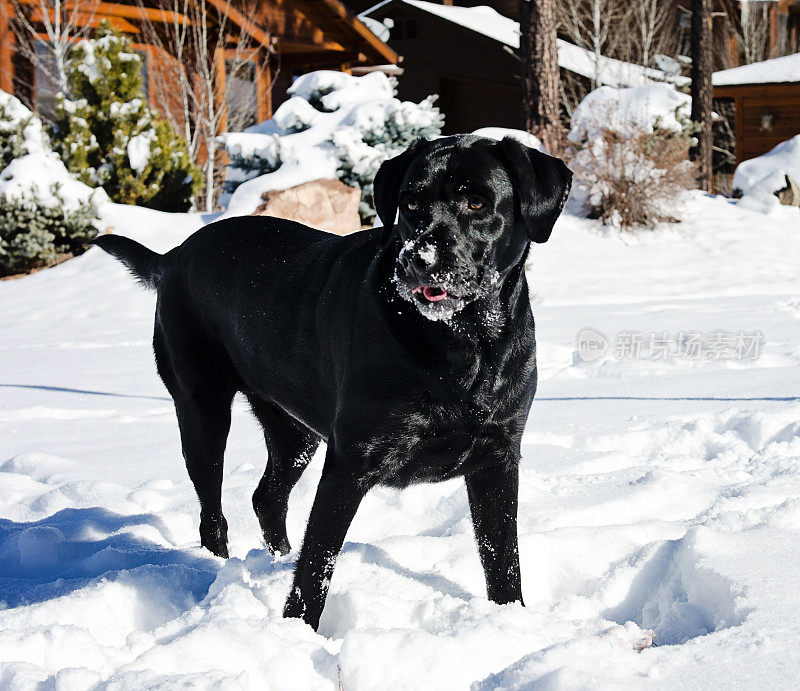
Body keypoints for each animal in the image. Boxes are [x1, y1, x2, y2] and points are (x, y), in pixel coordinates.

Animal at [95, 137, 568, 632]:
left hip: (295, 432)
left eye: (476, 202)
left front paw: (511, 621)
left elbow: (503, 560)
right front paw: (297, 634)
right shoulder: (350, 461)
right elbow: (316, 566)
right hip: (202, 411)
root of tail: (174, 257)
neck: (463, 347)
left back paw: (273, 562)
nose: (418, 260)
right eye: (411, 203)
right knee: (213, 515)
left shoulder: (497, 458)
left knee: (267, 497)